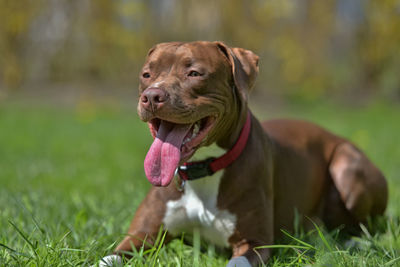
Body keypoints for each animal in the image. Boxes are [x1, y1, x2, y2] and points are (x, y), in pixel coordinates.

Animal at [94, 40, 388, 266]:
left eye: (194, 73)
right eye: (146, 75)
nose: (152, 96)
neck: (204, 170)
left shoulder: (254, 242)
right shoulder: (141, 237)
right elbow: (107, 258)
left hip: (347, 168)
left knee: (365, 224)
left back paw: (353, 242)